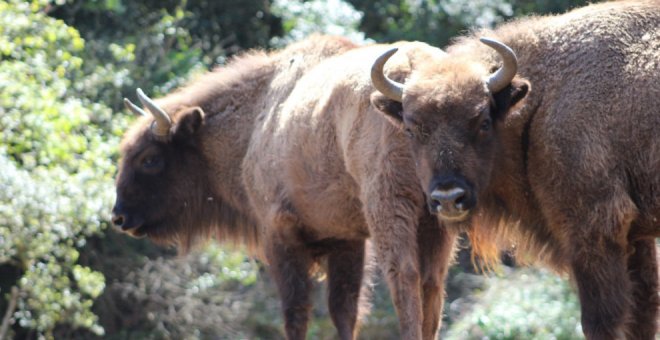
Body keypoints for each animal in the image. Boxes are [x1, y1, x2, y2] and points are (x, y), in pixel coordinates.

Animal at [111, 35, 456, 340]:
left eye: (150, 158)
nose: (119, 217)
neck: (256, 118)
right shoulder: (346, 238)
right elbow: (343, 310)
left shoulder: (280, 233)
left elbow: (296, 310)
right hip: (433, 217)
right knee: (432, 281)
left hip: (392, 207)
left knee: (404, 274)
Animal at [372, 1, 660, 338]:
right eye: (411, 128)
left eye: (483, 122)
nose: (448, 198)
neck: (541, 100)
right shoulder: (634, 237)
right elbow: (642, 315)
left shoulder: (594, 228)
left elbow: (601, 319)